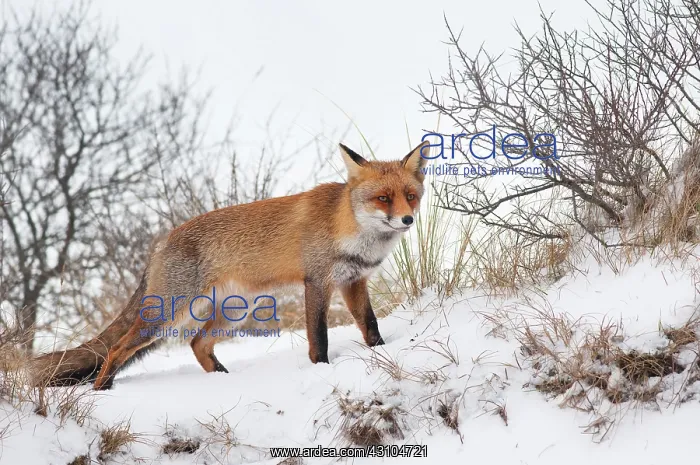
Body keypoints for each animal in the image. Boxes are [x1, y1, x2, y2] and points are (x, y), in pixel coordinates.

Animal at [32, 140, 429, 390]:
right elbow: (319, 338)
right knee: (117, 349)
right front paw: (322, 371)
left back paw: (222, 378)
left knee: (197, 344)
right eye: (383, 198)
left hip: (235, 310)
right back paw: (102, 390)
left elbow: (370, 326)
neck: (347, 228)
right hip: (168, 314)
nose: (407, 220)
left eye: (410, 196)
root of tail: (162, 242)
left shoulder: (353, 281)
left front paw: (380, 353)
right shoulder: (317, 282)